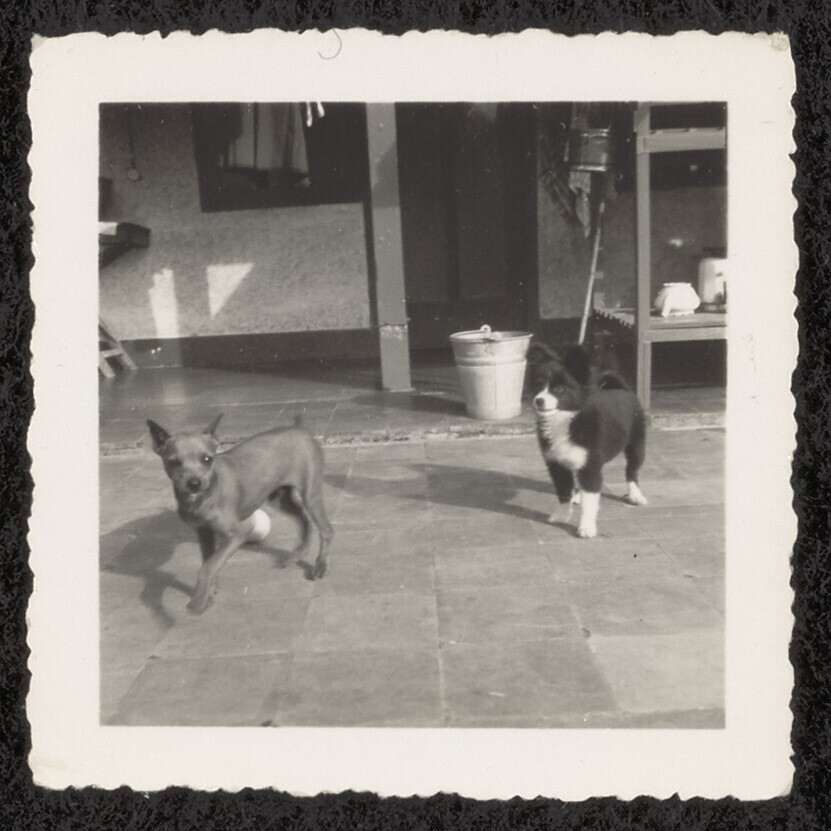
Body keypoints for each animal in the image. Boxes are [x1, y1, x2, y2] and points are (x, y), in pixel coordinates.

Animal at [147, 414, 333, 614]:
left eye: (207, 459)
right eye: (173, 462)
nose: (194, 483)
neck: (203, 497)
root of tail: (300, 428)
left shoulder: (238, 533)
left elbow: (208, 566)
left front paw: (198, 599)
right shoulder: (204, 533)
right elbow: (209, 562)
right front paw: (209, 593)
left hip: (310, 495)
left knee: (326, 529)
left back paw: (320, 566)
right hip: (280, 499)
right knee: (305, 521)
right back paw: (296, 556)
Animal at [527, 342, 648, 538]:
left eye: (559, 389)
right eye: (537, 385)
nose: (539, 400)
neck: (565, 419)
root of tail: (622, 389)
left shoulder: (590, 467)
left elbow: (590, 501)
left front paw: (586, 527)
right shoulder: (556, 465)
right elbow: (563, 492)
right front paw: (562, 514)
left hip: (636, 446)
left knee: (632, 471)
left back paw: (635, 495)